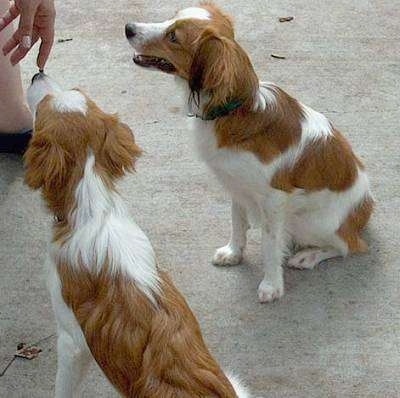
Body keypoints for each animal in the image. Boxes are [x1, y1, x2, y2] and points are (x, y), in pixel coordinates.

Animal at [126, 2, 376, 302]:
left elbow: (270, 243)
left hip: (312, 221)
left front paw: (272, 285)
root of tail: (365, 208)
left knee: (349, 246)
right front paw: (234, 253)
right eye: (171, 18)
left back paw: (308, 256)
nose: (128, 28)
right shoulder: (236, 185)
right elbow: (237, 221)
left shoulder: (274, 199)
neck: (235, 110)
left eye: (173, 37)